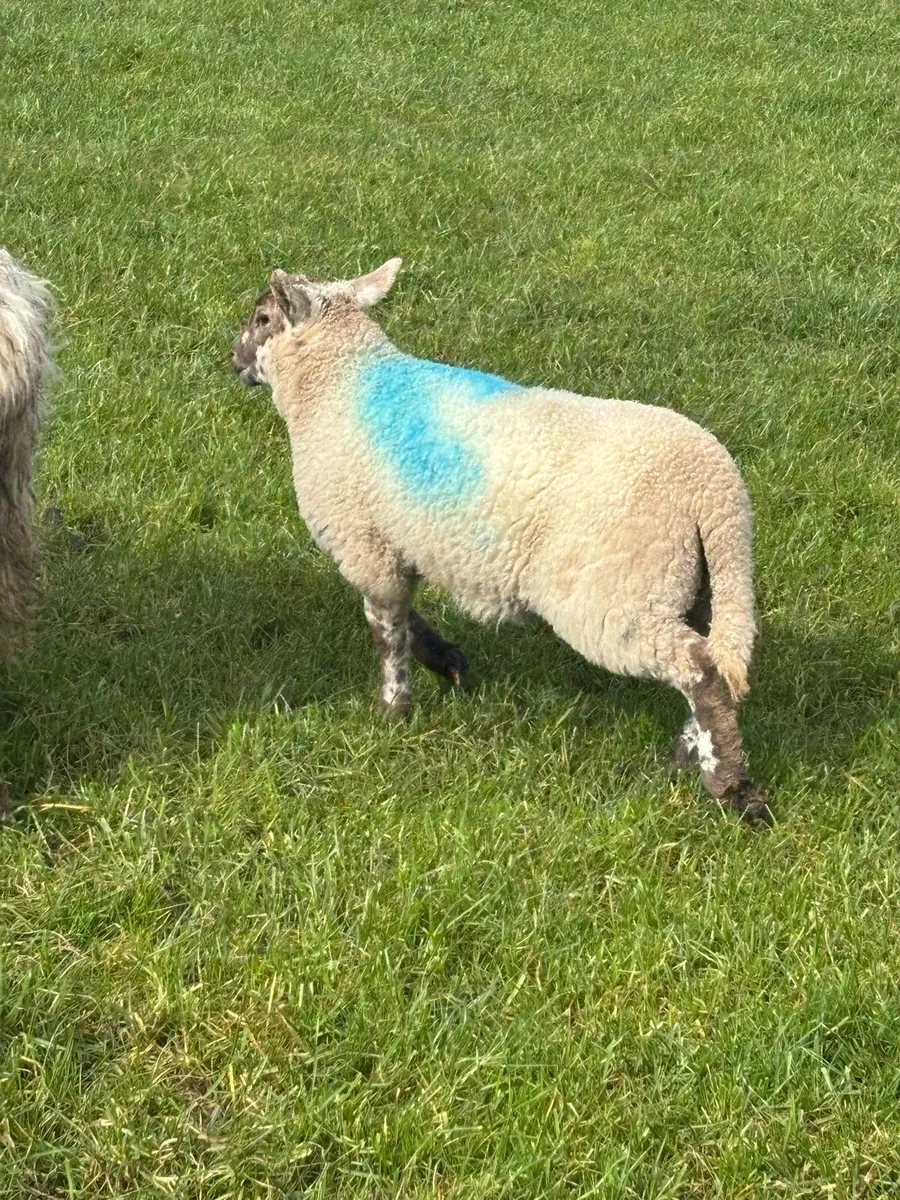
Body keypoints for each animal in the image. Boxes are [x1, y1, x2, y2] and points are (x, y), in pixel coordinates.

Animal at [231, 259, 771, 827]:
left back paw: (729, 787)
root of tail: (713, 494)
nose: (232, 357)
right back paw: (690, 756)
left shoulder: (365, 542)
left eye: (262, 318)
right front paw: (447, 662)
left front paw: (394, 711)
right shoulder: (400, 542)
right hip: (697, 586)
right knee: (719, 662)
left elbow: (387, 632)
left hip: (616, 592)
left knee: (700, 671)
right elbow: (407, 616)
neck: (338, 384)